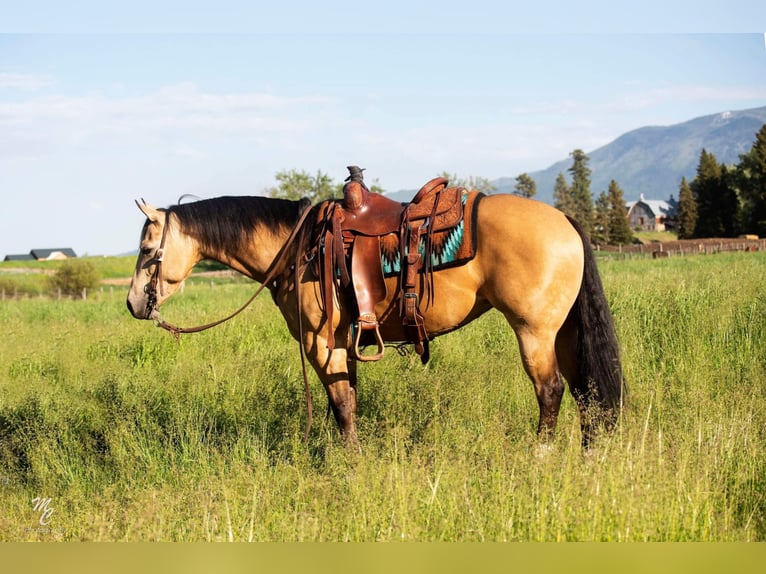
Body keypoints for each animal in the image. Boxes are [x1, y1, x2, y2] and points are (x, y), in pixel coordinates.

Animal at [129, 178, 628, 448]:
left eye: (148, 249)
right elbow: (348, 404)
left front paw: (351, 470)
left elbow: (342, 408)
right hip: (563, 331)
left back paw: (540, 459)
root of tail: (564, 220)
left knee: (551, 391)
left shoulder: (322, 346)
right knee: (586, 394)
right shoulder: (343, 346)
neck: (298, 247)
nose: (133, 303)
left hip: (534, 331)